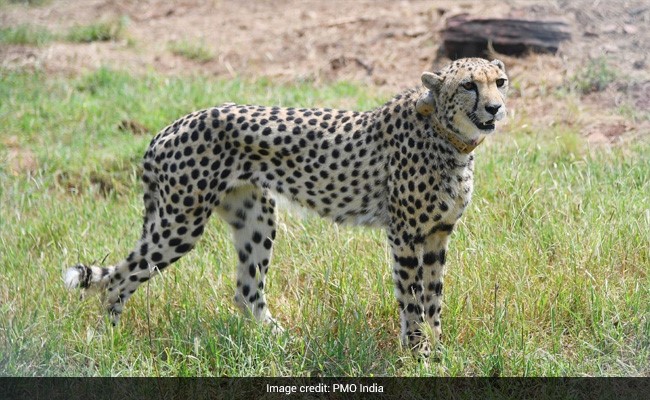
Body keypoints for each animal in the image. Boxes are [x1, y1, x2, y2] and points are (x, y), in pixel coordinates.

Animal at [64, 57, 509, 355]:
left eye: (500, 82)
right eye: (469, 85)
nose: (495, 107)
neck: (448, 136)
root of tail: (170, 127)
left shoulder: (437, 234)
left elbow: (434, 298)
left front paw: (439, 351)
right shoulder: (405, 235)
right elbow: (412, 300)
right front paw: (419, 353)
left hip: (256, 216)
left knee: (246, 292)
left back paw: (282, 343)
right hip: (180, 223)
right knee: (119, 279)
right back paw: (110, 341)